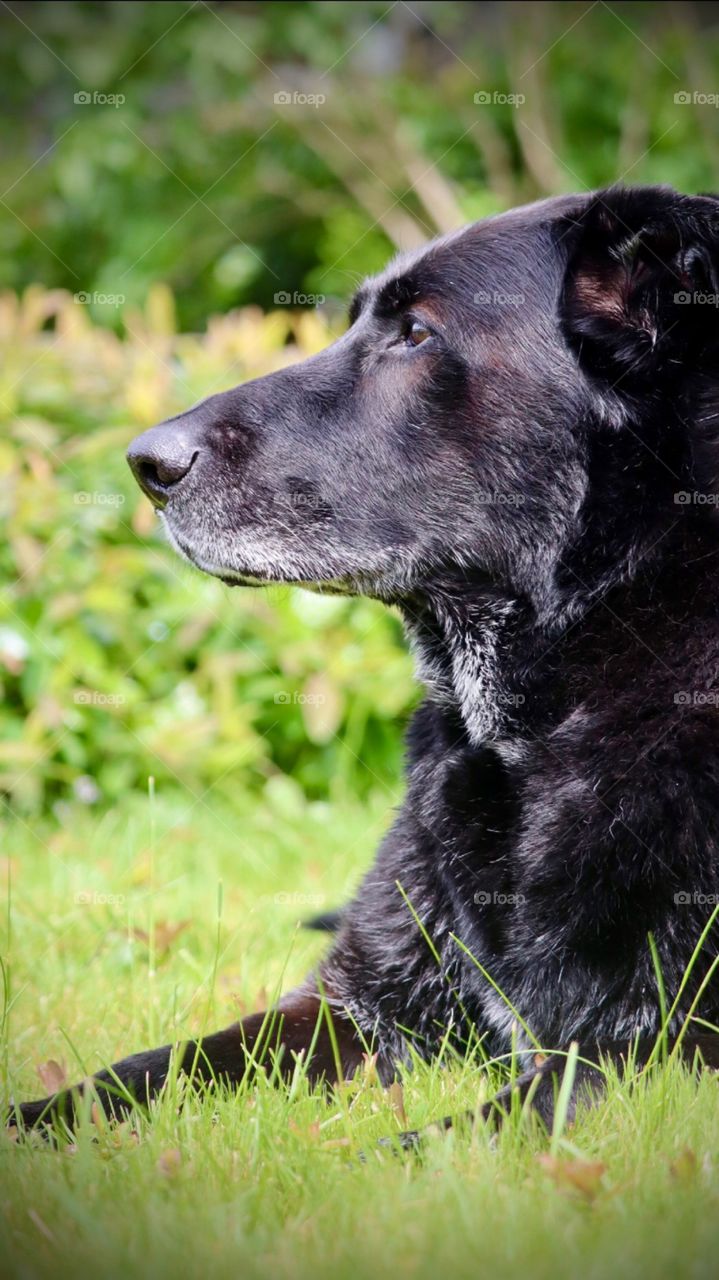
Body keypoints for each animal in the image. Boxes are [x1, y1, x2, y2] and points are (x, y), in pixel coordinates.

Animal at [12, 183, 719, 1131]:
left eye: (415, 333)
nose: (146, 462)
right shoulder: (354, 1007)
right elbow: (143, 1071)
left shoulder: (659, 1053)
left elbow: (468, 1128)